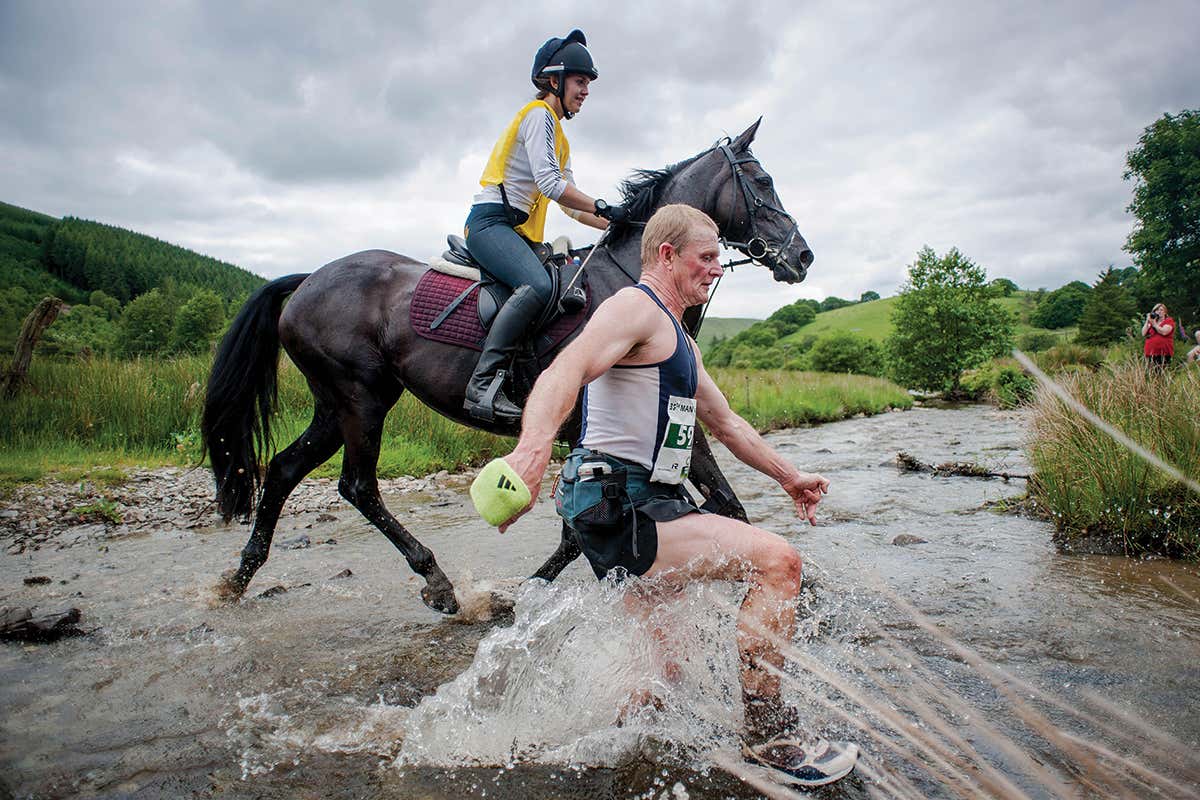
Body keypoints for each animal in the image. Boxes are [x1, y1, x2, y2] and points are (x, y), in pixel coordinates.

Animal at [201, 119, 813, 615]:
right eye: (762, 182)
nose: (803, 256)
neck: (629, 278)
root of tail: (307, 279)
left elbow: (647, 520)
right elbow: (709, 508)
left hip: (334, 404)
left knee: (283, 469)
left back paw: (239, 578)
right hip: (361, 397)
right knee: (357, 485)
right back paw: (437, 582)